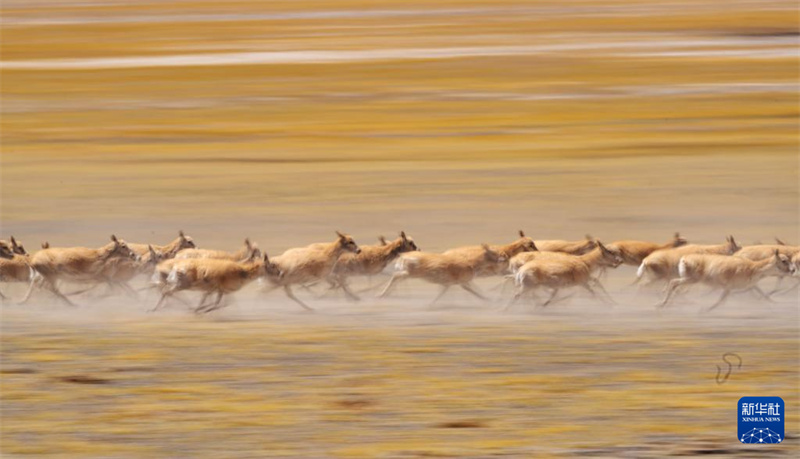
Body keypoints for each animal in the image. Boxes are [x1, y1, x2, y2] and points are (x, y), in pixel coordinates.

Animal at [376, 244, 506, 306]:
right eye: (493, 252)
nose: (504, 257)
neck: (470, 262)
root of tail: (403, 256)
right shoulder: (463, 283)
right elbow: (476, 291)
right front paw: (490, 299)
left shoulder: (448, 284)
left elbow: (441, 294)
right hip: (409, 274)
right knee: (395, 276)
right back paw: (381, 295)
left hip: (407, 274)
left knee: (396, 278)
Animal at [656, 250, 792, 310]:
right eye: (784, 260)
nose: (792, 270)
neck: (753, 267)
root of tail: (684, 258)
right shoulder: (729, 288)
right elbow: (721, 300)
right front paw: (706, 309)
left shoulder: (749, 286)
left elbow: (763, 294)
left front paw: (775, 303)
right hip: (690, 279)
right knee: (673, 283)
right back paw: (662, 304)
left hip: (688, 279)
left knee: (675, 286)